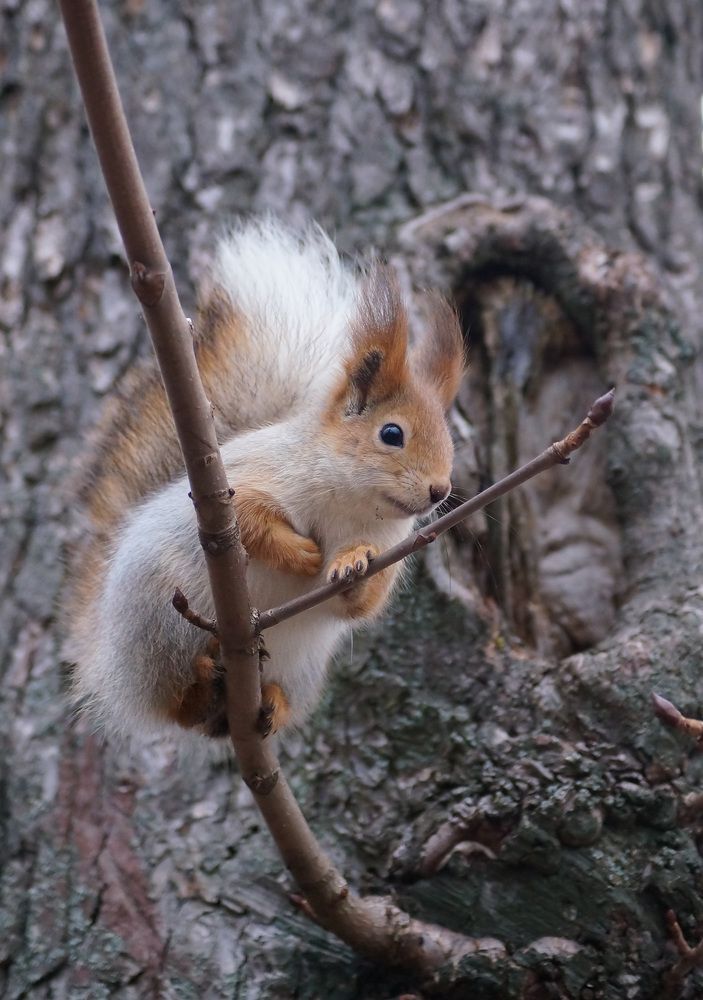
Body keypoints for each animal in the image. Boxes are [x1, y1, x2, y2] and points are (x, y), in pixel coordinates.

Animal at [65, 218, 464, 741]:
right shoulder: (247, 479)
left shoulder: (391, 545)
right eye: (392, 433)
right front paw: (301, 554)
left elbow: (359, 605)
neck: (354, 504)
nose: (440, 490)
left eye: (450, 442)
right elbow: (249, 520)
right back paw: (199, 684)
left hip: (300, 668)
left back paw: (270, 704)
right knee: (175, 703)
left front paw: (353, 560)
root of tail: (107, 658)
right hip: (160, 623)